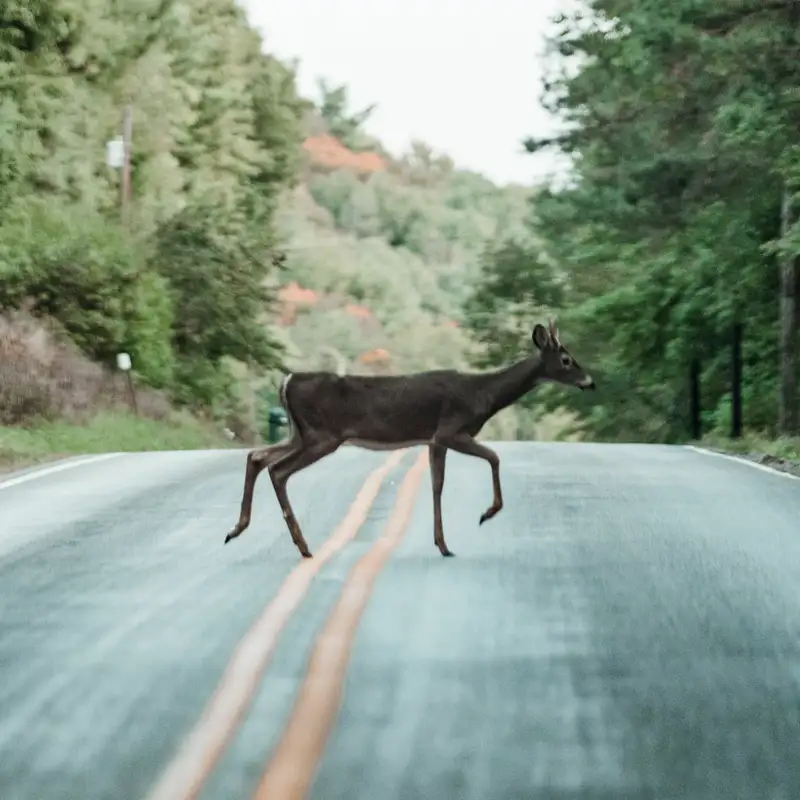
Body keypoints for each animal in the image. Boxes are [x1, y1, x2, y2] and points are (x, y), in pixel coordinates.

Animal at [224, 319, 595, 558]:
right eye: (566, 359)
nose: (590, 382)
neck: (483, 395)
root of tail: (287, 381)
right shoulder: (451, 429)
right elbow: (493, 457)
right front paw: (485, 514)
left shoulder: (433, 440)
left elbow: (437, 484)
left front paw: (442, 543)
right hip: (321, 435)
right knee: (278, 470)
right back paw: (302, 546)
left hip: (299, 433)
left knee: (256, 456)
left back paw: (237, 529)